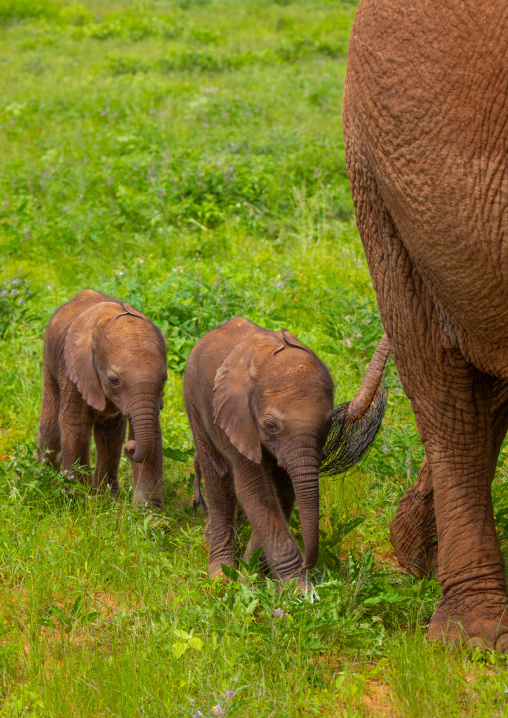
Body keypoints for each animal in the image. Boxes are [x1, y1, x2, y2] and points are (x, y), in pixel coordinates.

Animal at [37, 289, 167, 508]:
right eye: (113, 380)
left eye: (165, 379)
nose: (131, 447)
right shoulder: (73, 368)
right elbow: (75, 426)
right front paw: (80, 503)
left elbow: (150, 431)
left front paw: (149, 513)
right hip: (51, 360)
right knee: (52, 433)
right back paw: (41, 480)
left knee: (110, 435)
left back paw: (106, 498)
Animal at [184, 316, 389, 585]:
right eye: (270, 426)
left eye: (327, 424)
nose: (307, 563)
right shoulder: (239, 419)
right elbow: (255, 491)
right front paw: (296, 588)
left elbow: (283, 491)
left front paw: (253, 577)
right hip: (196, 402)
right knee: (218, 480)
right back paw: (220, 574)